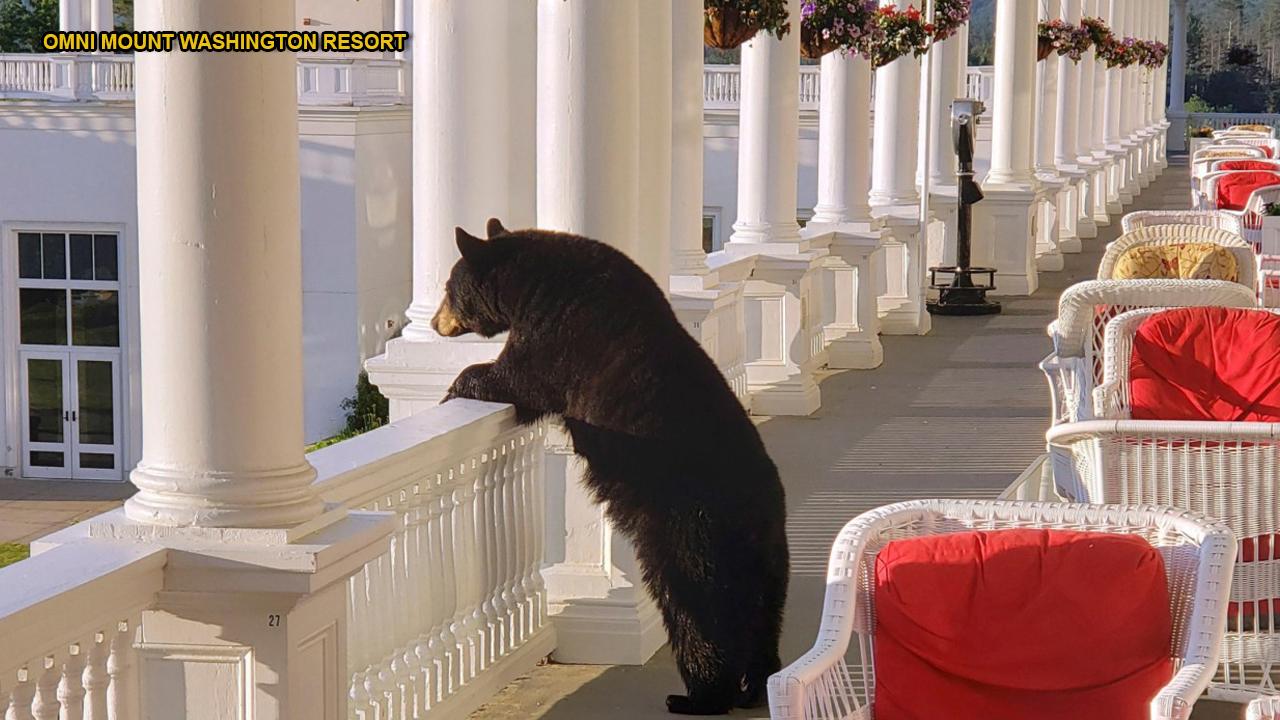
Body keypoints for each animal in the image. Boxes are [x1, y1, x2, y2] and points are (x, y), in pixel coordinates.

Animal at [440, 219, 788, 712]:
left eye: (447, 288)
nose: (435, 321)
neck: (531, 283)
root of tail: (762, 511)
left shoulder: (559, 332)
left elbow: (519, 378)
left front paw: (455, 387)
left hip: (691, 531)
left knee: (696, 605)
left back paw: (699, 695)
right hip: (767, 557)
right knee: (762, 615)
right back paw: (756, 684)